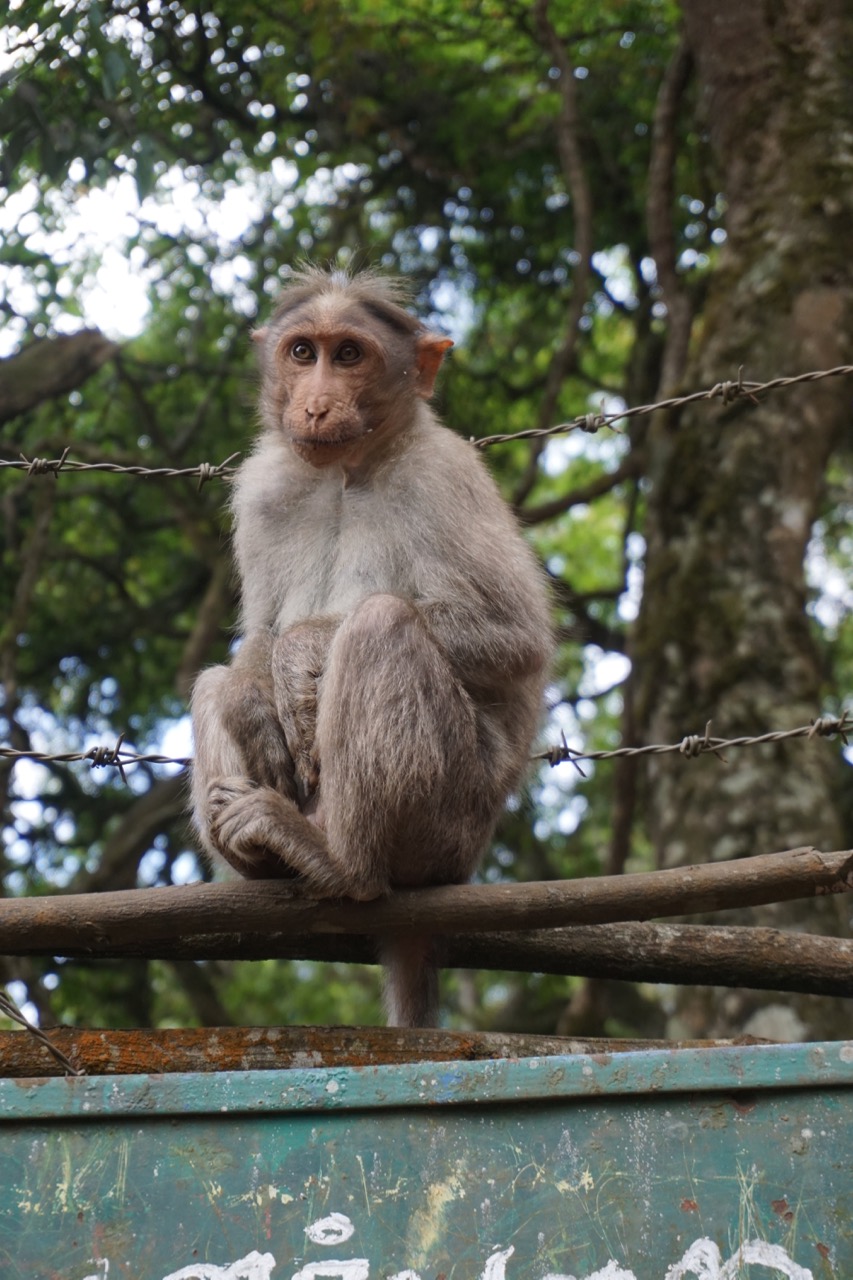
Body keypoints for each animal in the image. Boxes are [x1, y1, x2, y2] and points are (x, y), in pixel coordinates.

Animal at [190, 265, 554, 1027]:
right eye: (303, 353)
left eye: (350, 355)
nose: (316, 404)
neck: (344, 472)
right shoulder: (262, 488)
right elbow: (257, 633)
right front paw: (251, 704)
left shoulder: (444, 472)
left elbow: (515, 638)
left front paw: (301, 652)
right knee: (211, 681)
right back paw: (258, 857)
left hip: (451, 823)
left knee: (379, 625)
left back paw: (340, 864)